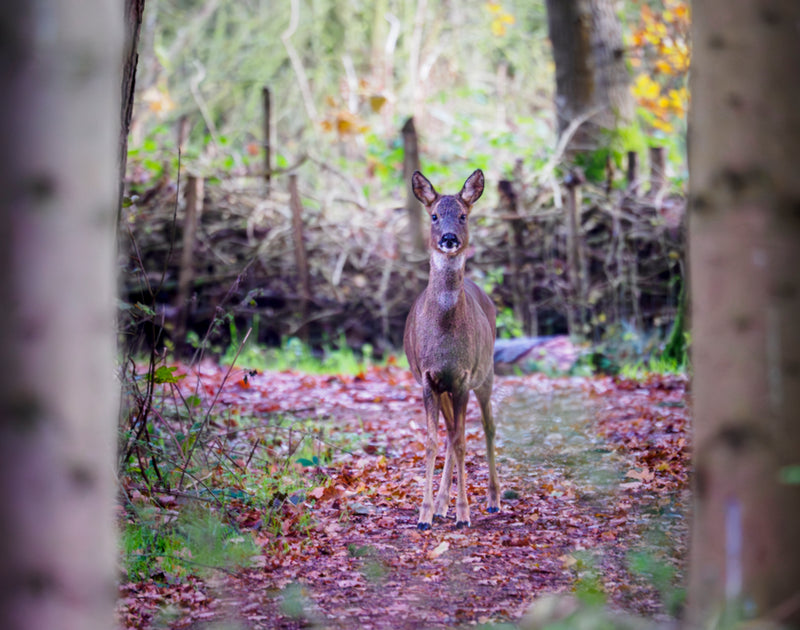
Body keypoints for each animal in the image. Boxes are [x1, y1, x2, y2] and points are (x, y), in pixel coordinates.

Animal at [403, 169, 499, 530]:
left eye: (462, 215)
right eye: (433, 215)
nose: (448, 238)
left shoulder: (462, 377)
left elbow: (461, 441)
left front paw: (464, 513)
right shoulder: (428, 378)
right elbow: (433, 440)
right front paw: (425, 514)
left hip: (486, 372)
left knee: (487, 427)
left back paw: (492, 500)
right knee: (449, 432)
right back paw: (442, 505)